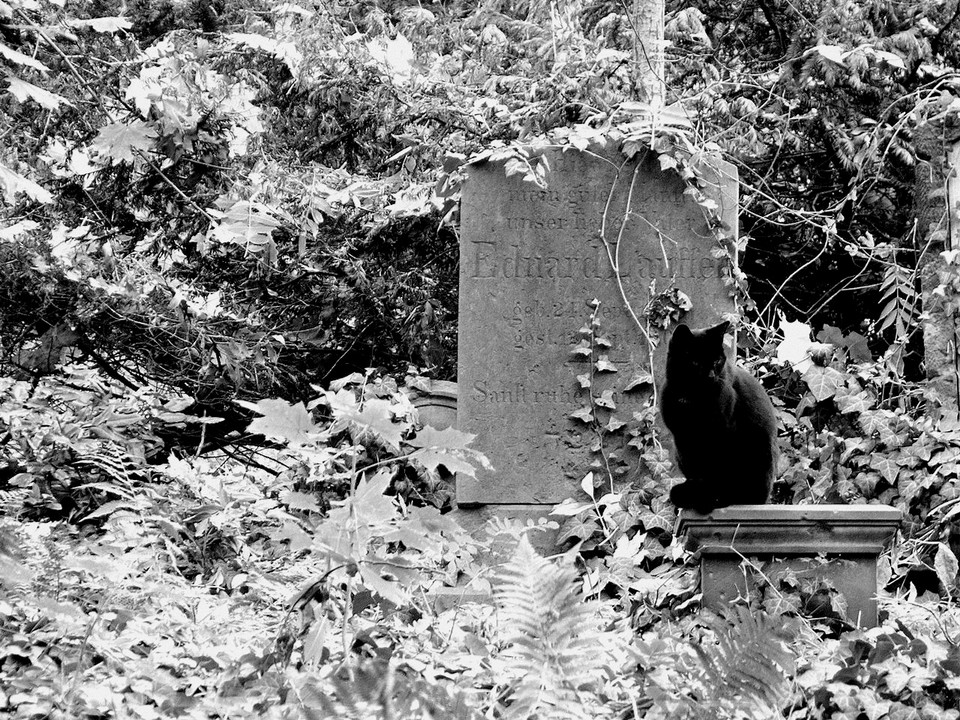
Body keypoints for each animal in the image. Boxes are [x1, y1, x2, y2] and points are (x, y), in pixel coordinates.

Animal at [660, 320, 780, 512]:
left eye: (716, 360)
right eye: (695, 362)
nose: (711, 376)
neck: (691, 398)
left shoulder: (721, 434)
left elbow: (715, 471)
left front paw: (708, 498)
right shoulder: (683, 438)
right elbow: (698, 470)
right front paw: (698, 494)